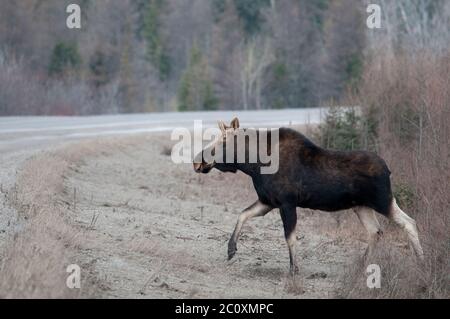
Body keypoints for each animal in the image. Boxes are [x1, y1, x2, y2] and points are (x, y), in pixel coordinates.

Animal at [192, 119, 422, 274]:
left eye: (223, 140)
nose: (197, 160)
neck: (252, 165)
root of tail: (388, 169)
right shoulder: (268, 201)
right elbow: (242, 214)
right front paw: (231, 249)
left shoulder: (286, 203)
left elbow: (290, 237)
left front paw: (294, 269)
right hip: (361, 206)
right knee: (376, 231)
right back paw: (362, 263)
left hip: (382, 200)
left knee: (409, 222)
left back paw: (421, 259)